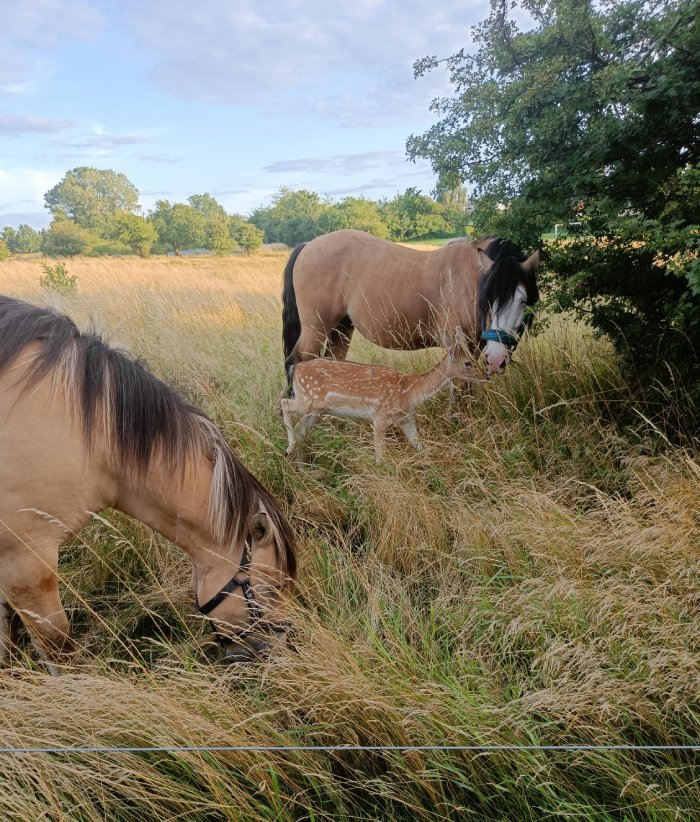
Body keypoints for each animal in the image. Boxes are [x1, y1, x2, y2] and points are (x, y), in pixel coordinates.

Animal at [284, 230, 540, 382]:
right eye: (488, 298)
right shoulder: (456, 346)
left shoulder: (475, 347)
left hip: (342, 328)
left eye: (523, 301)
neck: (467, 275)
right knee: (296, 362)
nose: (496, 360)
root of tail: (307, 245)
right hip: (316, 329)